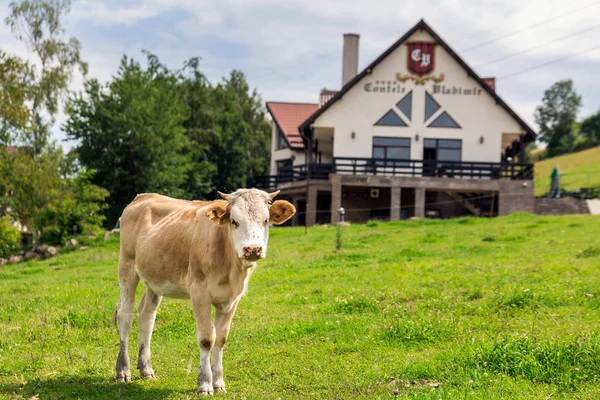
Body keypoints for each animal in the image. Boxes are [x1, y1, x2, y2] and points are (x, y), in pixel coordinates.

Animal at [114, 190, 296, 394]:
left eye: (265, 220)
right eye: (234, 221)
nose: (253, 249)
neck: (230, 270)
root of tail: (143, 196)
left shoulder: (233, 299)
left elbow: (221, 339)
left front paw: (219, 383)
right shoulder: (199, 293)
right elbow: (207, 339)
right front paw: (205, 383)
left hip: (155, 279)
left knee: (146, 316)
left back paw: (146, 369)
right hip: (127, 266)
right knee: (125, 317)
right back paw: (123, 370)